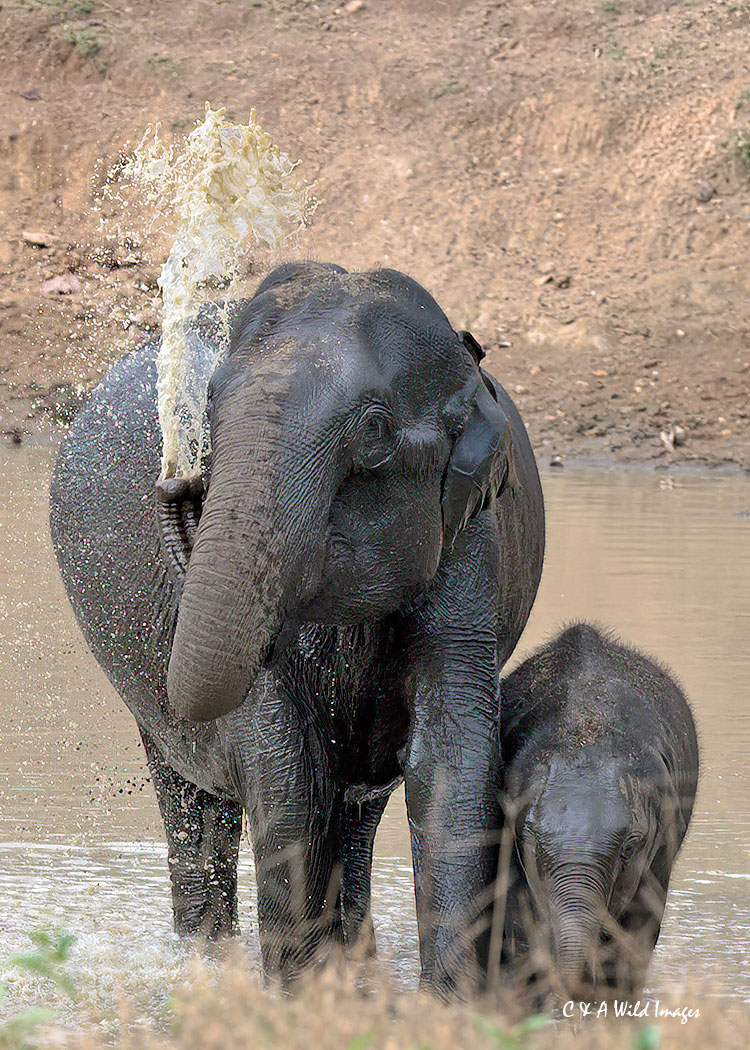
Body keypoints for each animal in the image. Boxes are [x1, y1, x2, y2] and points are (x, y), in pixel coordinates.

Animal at [49, 261, 545, 993]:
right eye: (208, 410)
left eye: (374, 431)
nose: (178, 484)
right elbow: (287, 764)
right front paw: (300, 999)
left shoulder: (473, 543)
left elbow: (452, 757)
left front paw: (444, 1004)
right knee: (192, 794)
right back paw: (208, 963)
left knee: (356, 809)